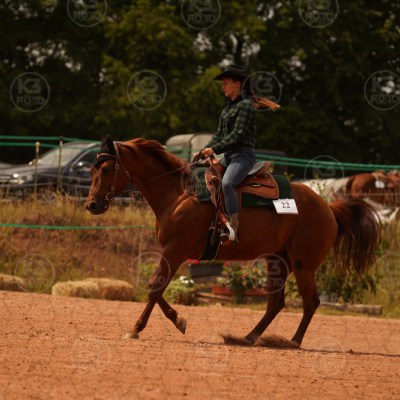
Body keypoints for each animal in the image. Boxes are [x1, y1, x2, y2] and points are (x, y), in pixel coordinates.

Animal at [85, 136, 380, 347]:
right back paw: (248, 337)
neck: (179, 194)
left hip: (303, 265)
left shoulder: (175, 249)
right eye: (91, 169)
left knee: (310, 302)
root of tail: (328, 208)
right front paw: (179, 320)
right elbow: (156, 288)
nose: (92, 205)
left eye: (107, 168)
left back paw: (292, 342)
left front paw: (136, 329)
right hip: (277, 260)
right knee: (276, 303)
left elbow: (155, 286)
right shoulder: (173, 251)